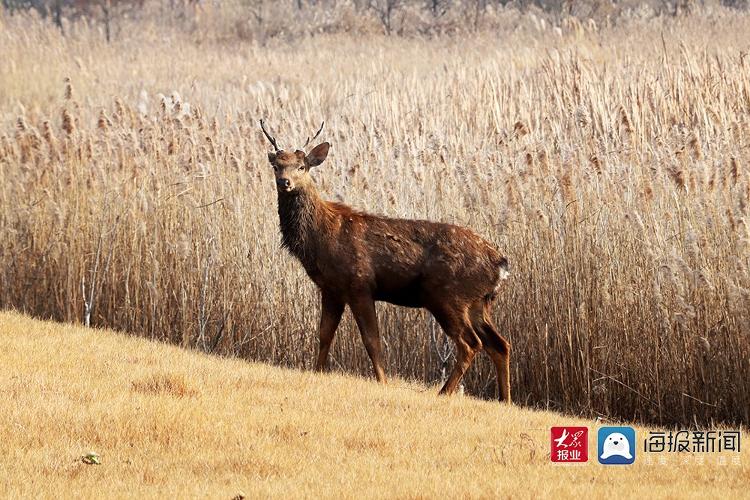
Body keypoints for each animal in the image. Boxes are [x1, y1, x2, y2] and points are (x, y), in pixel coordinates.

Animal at [262, 120, 516, 402]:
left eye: (302, 166)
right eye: (276, 165)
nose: (284, 182)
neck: (322, 237)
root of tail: (501, 264)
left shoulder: (359, 284)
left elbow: (372, 340)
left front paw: (383, 381)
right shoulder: (331, 289)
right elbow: (324, 335)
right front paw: (316, 373)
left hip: (447, 296)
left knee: (471, 343)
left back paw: (444, 392)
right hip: (478, 303)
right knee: (500, 344)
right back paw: (505, 400)